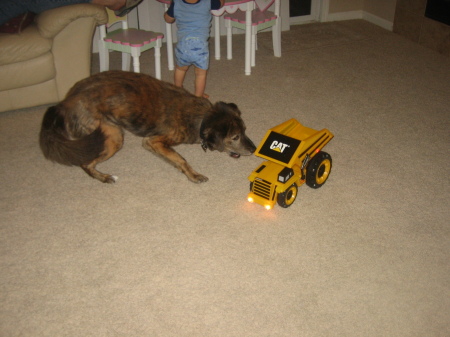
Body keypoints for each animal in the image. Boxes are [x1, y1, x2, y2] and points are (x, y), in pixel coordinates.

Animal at [38, 70, 256, 184]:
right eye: (234, 137)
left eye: (245, 130)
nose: (254, 149)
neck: (202, 117)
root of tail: (64, 103)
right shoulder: (154, 141)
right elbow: (181, 159)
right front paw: (193, 175)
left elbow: (175, 160)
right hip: (111, 136)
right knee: (85, 163)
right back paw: (105, 177)